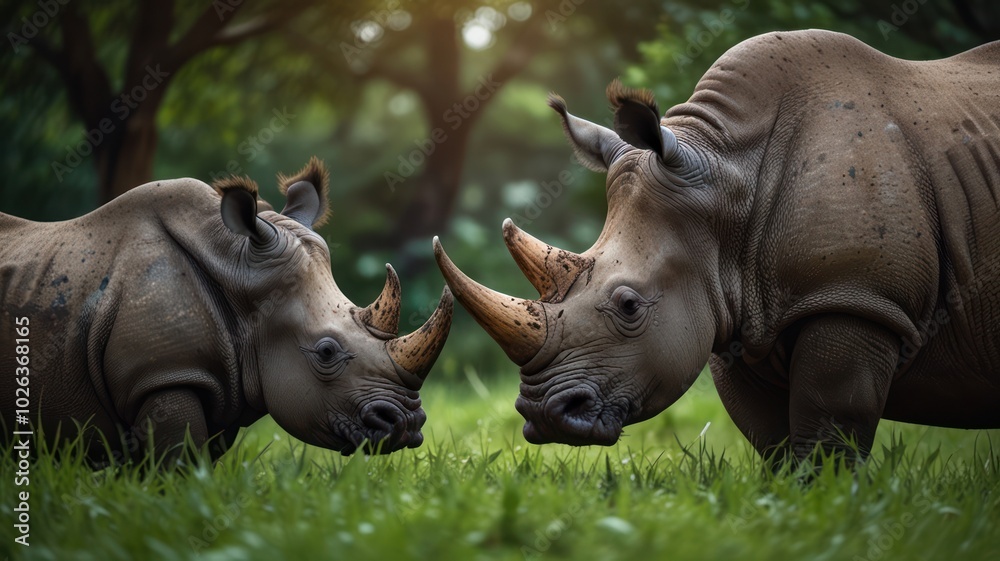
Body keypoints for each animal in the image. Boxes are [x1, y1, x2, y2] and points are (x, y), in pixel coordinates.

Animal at [0, 157, 452, 465]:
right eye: (325, 352)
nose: (406, 424)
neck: (237, 270)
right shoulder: (163, 375)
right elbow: (178, 465)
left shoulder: (223, 383)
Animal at [434, 30, 1000, 463]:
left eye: (629, 305)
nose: (544, 413)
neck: (730, 177)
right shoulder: (736, 315)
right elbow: (778, 445)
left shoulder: (858, 297)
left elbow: (829, 436)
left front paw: (830, 508)